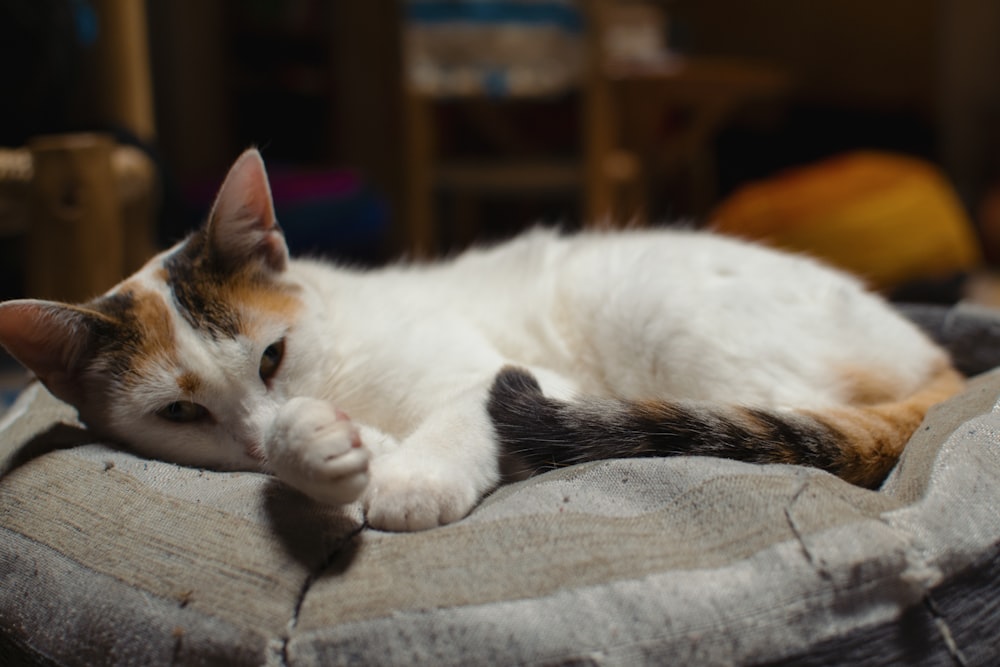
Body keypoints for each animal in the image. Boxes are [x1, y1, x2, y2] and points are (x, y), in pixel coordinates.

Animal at [0, 150, 960, 532]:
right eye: (180, 412)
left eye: (272, 356)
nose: (260, 434)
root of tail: (937, 353)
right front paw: (324, 452)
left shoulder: (509, 375)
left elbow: (461, 417)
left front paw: (405, 479)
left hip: (657, 312)